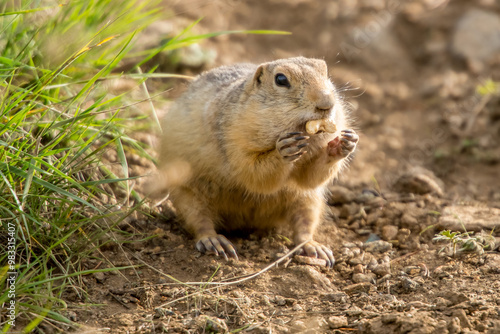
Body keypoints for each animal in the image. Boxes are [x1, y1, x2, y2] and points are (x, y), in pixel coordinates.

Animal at [154, 56, 358, 266]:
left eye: (325, 71)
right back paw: (214, 242)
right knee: (199, 222)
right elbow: (253, 172)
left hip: (308, 200)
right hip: (187, 195)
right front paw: (283, 149)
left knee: (303, 228)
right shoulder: (235, 141)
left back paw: (314, 247)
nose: (327, 104)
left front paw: (343, 143)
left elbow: (309, 178)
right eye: (281, 79)